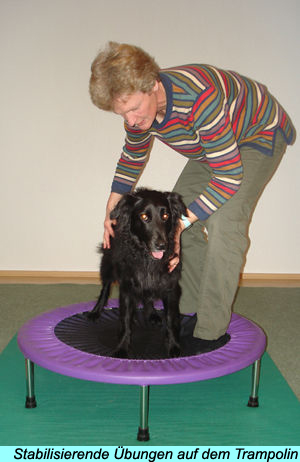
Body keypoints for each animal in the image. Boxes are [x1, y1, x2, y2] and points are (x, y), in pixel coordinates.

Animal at [86, 188, 188, 358]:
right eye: (144, 217)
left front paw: (173, 345)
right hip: (108, 263)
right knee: (105, 288)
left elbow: (171, 318)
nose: (162, 245)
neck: (147, 258)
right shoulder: (127, 288)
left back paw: (152, 313)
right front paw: (122, 348)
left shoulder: (171, 287)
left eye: (165, 216)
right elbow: (125, 321)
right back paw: (96, 311)